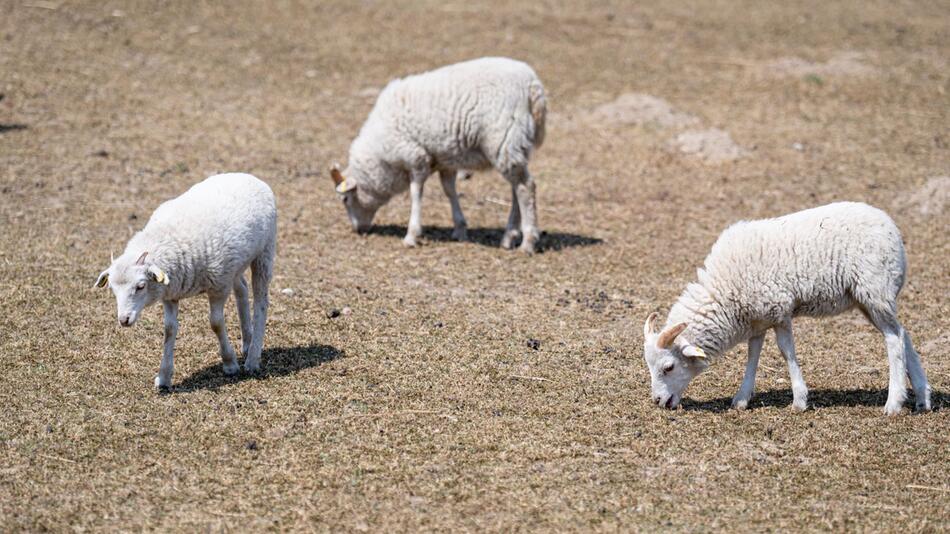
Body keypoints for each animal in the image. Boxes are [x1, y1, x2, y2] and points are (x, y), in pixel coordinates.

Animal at [95, 174, 278, 392]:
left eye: (140, 286)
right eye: (113, 290)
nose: (124, 320)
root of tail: (248, 176)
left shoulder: (219, 286)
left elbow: (216, 323)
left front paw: (229, 363)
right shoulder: (170, 293)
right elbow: (169, 330)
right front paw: (164, 377)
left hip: (264, 252)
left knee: (261, 301)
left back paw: (252, 358)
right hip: (236, 265)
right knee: (242, 289)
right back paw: (247, 343)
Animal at [330, 57, 548, 254]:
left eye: (345, 199)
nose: (358, 230)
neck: (380, 157)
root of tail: (533, 86)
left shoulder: (416, 158)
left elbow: (416, 193)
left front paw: (411, 235)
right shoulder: (445, 160)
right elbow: (449, 190)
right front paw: (460, 229)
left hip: (504, 140)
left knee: (526, 188)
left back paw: (527, 242)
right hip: (514, 147)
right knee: (516, 188)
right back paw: (509, 237)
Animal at [644, 203, 932, 416]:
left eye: (668, 367)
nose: (657, 400)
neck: (725, 291)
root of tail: (893, 229)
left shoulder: (778, 310)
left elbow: (786, 352)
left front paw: (799, 400)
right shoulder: (757, 318)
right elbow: (753, 354)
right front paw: (741, 399)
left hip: (874, 289)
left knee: (893, 339)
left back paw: (893, 403)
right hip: (868, 299)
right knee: (902, 333)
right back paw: (922, 397)